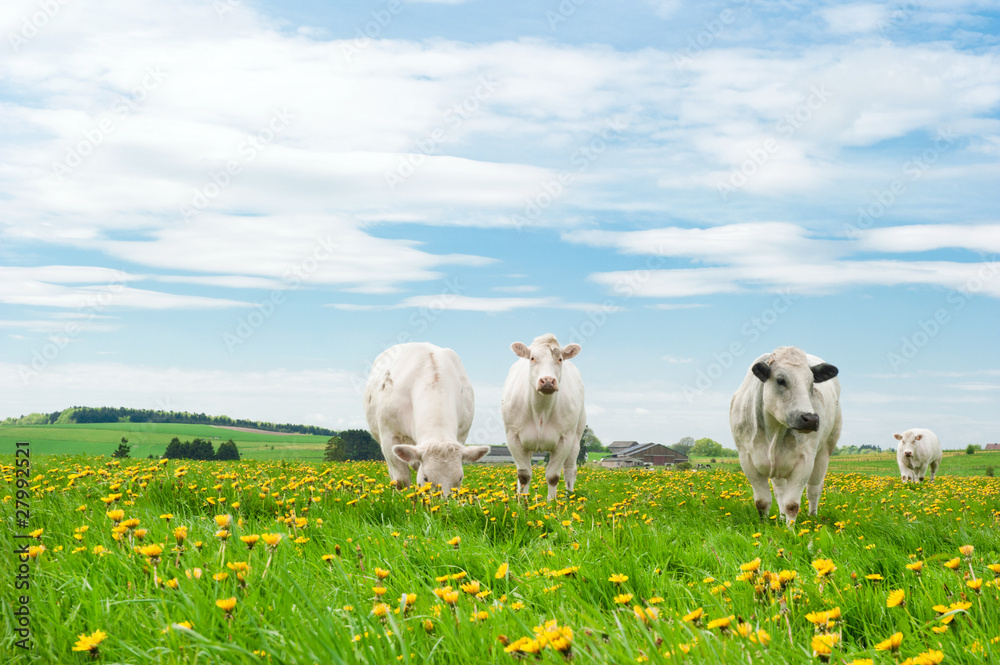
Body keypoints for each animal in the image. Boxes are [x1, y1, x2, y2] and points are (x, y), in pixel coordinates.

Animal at [500, 334, 584, 500]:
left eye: (560, 359)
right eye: (532, 358)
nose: (548, 381)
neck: (540, 410)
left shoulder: (565, 440)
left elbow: (553, 476)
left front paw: (551, 502)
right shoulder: (513, 437)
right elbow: (524, 475)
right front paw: (522, 501)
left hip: (577, 437)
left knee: (570, 469)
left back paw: (569, 497)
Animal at [728, 348, 844, 524]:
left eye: (812, 383)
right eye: (780, 380)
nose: (811, 419)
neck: (774, 432)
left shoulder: (805, 461)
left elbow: (792, 504)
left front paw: (790, 529)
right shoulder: (746, 460)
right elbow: (763, 501)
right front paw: (764, 525)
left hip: (825, 450)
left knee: (814, 489)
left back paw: (812, 518)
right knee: (780, 492)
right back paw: (781, 518)